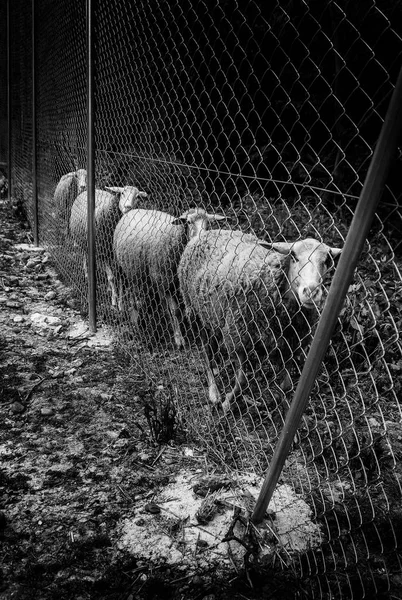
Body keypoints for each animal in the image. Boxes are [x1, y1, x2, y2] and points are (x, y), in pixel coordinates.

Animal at [113, 209, 226, 346]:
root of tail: (131, 210)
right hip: (119, 264)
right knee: (122, 283)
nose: (200, 239)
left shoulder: (178, 285)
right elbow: (173, 311)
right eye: (188, 222)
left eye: (208, 223)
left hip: (137, 271)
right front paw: (178, 337)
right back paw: (123, 308)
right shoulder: (163, 283)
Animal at [177, 230, 342, 412]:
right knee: (206, 351)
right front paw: (228, 402)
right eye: (293, 256)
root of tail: (207, 232)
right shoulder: (238, 337)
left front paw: (282, 403)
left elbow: (286, 385)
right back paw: (214, 391)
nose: (311, 292)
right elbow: (242, 381)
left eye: (326, 261)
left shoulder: (290, 345)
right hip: (197, 311)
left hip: (214, 316)